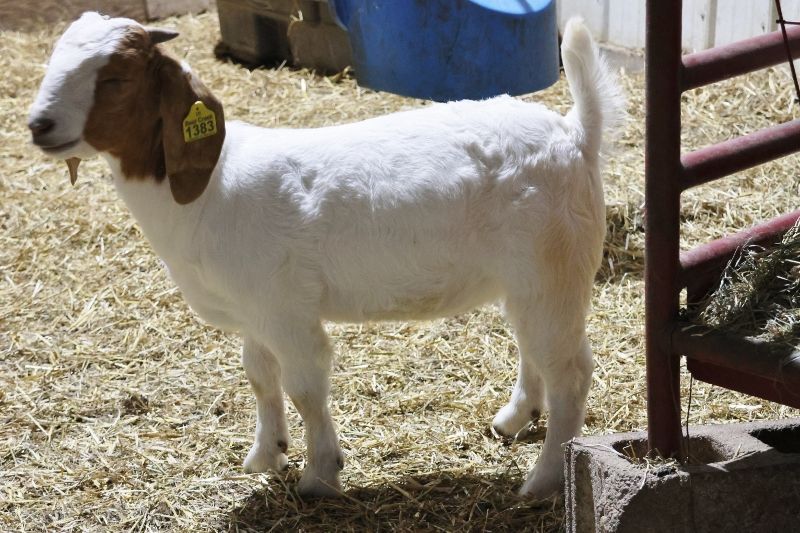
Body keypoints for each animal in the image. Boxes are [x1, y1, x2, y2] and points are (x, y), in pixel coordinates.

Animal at [29, 12, 624, 499]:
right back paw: (514, 419)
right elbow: (259, 376)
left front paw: (319, 476)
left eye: (115, 78)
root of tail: (576, 133)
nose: (39, 126)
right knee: (535, 350)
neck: (209, 190)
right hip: (527, 281)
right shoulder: (255, 312)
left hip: (552, 271)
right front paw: (266, 454)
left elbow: (305, 388)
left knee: (571, 371)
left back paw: (543, 480)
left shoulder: (287, 311)